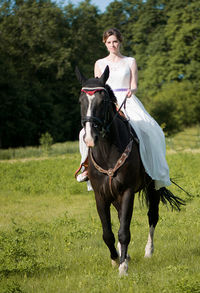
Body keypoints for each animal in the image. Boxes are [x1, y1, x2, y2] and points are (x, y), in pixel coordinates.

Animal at [76, 65, 184, 274]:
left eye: (103, 101)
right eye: (80, 100)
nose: (90, 137)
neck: (107, 152)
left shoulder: (127, 191)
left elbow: (124, 231)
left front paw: (123, 268)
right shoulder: (101, 195)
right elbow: (108, 233)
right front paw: (116, 258)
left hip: (152, 187)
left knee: (152, 216)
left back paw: (148, 252)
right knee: (121, 217)